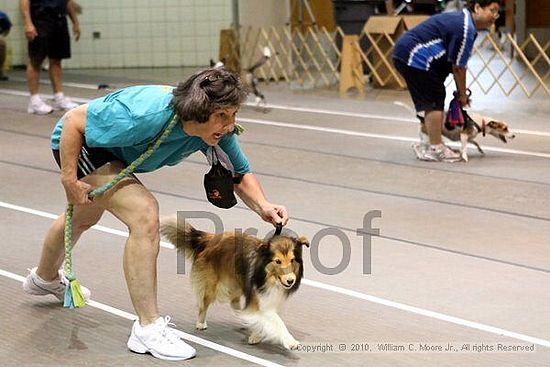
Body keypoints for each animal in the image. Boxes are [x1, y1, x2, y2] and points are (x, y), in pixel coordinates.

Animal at [161, 218, 310, 350]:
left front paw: (256, 334)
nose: (290, 280)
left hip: (237, 283)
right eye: (278, 261)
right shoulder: (258, 299)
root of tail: (210, 238)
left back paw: (244, 318)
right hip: (212, 286)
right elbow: (276, 321)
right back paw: (201, 323)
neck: (270, 278)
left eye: (292, 260)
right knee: (204, 304)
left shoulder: (270, 298)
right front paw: (290, 341)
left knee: (234, 302)